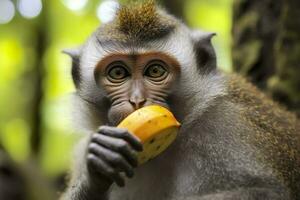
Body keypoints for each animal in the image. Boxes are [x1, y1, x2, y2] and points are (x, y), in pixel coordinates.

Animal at [59, 0, 298, 199]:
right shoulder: (84, 149)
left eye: (155, 71)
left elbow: (264, 191)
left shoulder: (227, 129)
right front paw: (97, 170)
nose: (137, 100)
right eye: (118, 73)